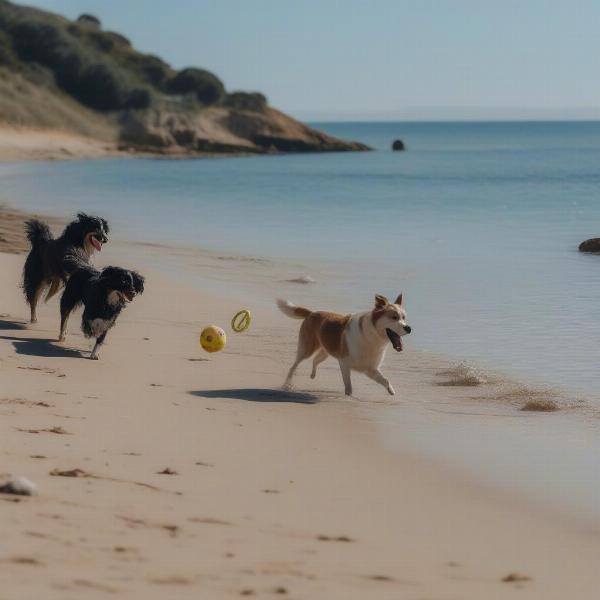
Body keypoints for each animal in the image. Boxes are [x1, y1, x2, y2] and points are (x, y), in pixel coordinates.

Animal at [278, 294, 410, 396]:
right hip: (306, 349)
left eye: (404, 318)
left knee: (315, 360)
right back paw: (287, 385)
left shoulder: (370, 369)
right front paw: (348, 398)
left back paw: (312, 375)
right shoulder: (344, 364)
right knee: (294, 366)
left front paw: (391, 391)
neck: (371, 336)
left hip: (325, 352)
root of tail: (312, 313)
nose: (409, 328)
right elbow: (349, 387)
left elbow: (385, 380)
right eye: (394, 317)